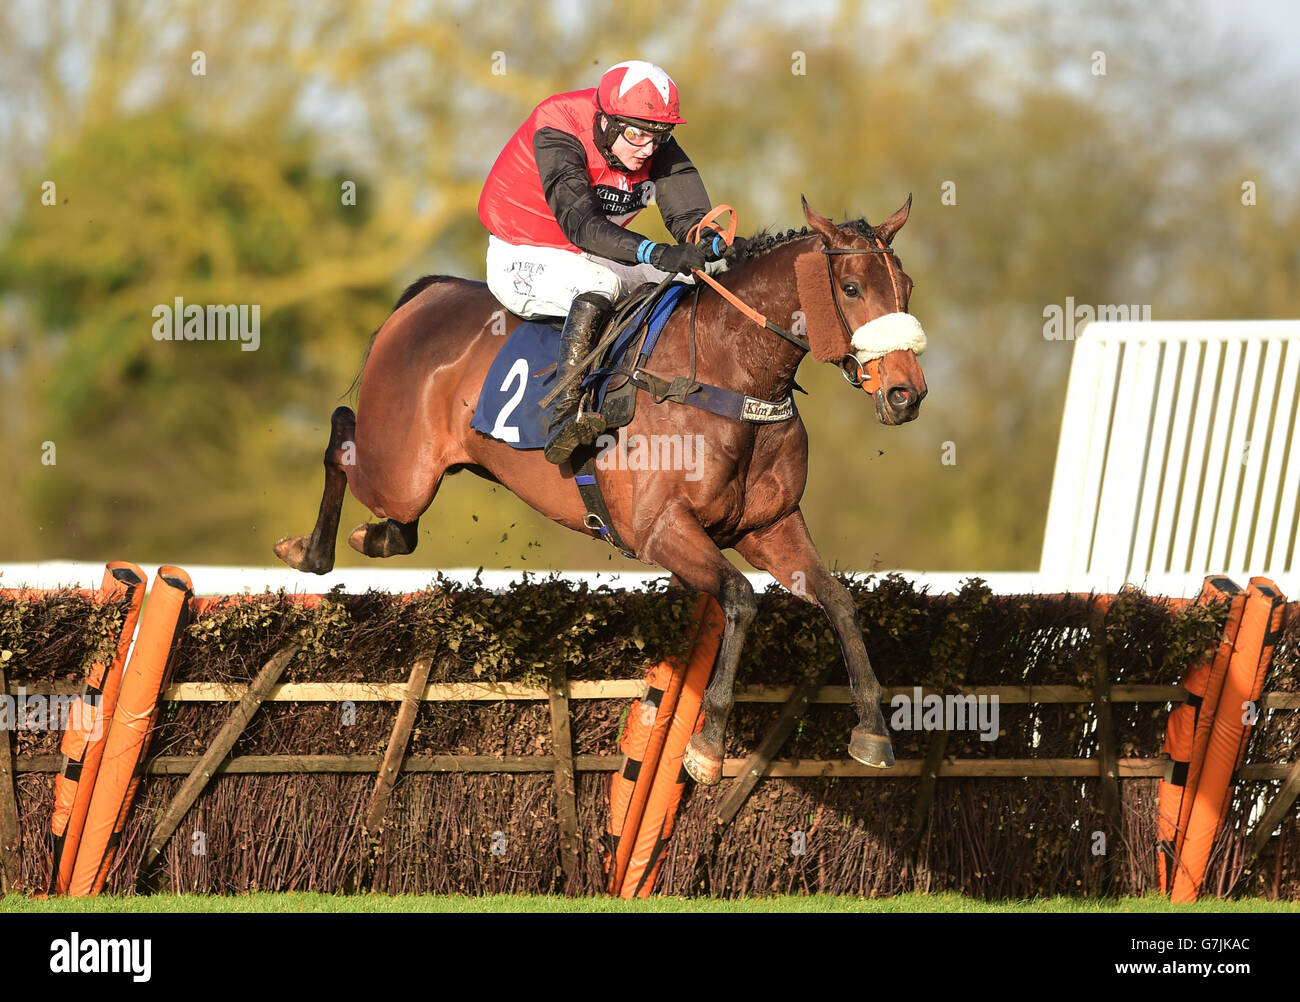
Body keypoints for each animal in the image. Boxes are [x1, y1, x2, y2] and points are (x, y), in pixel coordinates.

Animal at [271, 196, 925, 790]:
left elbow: (839, 601)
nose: (906, 394)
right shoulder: (660, 531)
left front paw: (872, 731)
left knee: (395, 523)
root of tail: (427, 294)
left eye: (907, 286)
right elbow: (741, 598)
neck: (727, 376)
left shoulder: (770, 527)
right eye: (850, 287)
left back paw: (369, 536)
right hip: (401, 471)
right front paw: (707, 745)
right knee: (342, 433)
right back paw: (309, 548)